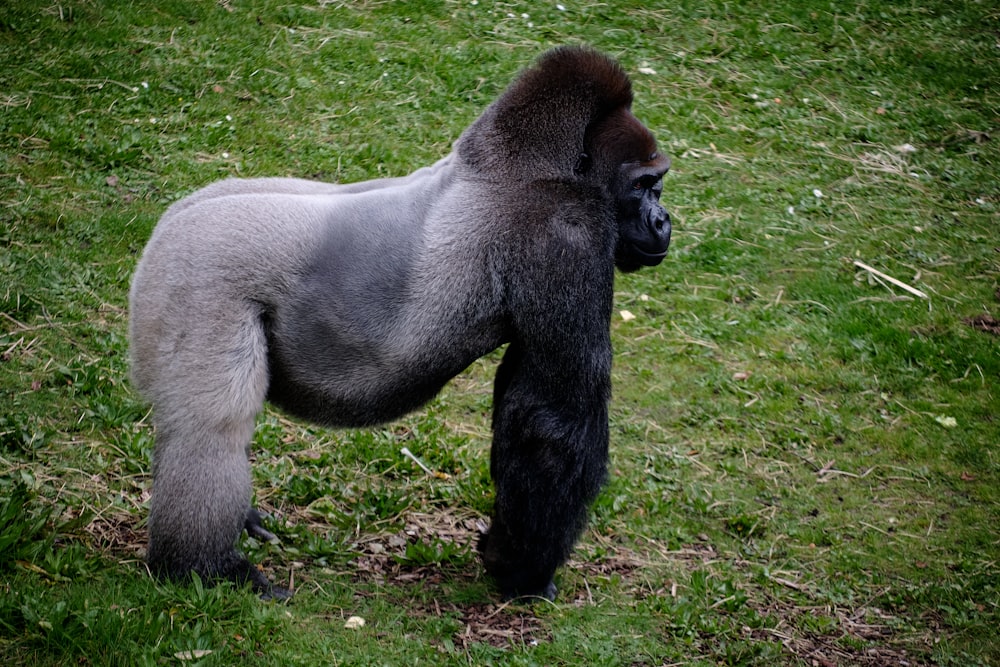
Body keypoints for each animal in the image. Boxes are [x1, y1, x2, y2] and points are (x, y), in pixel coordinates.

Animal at [127, 45, 672, 600]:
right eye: (645, 185)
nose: (662, 221)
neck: (527, 167)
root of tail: (166, 227)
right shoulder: (568, 232)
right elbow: (554, 420)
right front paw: (523, 570)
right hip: (196, 279)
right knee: (212, 427)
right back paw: (202, 567)